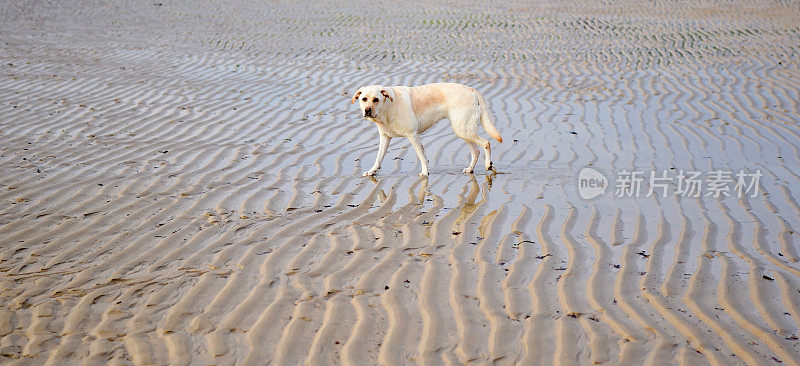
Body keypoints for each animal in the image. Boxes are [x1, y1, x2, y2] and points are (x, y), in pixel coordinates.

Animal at [348, 84, 500, 179]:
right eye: (364, 99)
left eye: (376, 99)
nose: (367, 111)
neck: (388, 108)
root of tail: (472, 90)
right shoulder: (385, 138)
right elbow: (378, 158)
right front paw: (371, 171)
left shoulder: (413, 135)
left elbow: (421, 156)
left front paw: (425, 173)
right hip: (463, 130)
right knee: (476, 151)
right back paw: (470, 169)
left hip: (462, 128)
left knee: (486, 143)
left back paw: (488, 164)